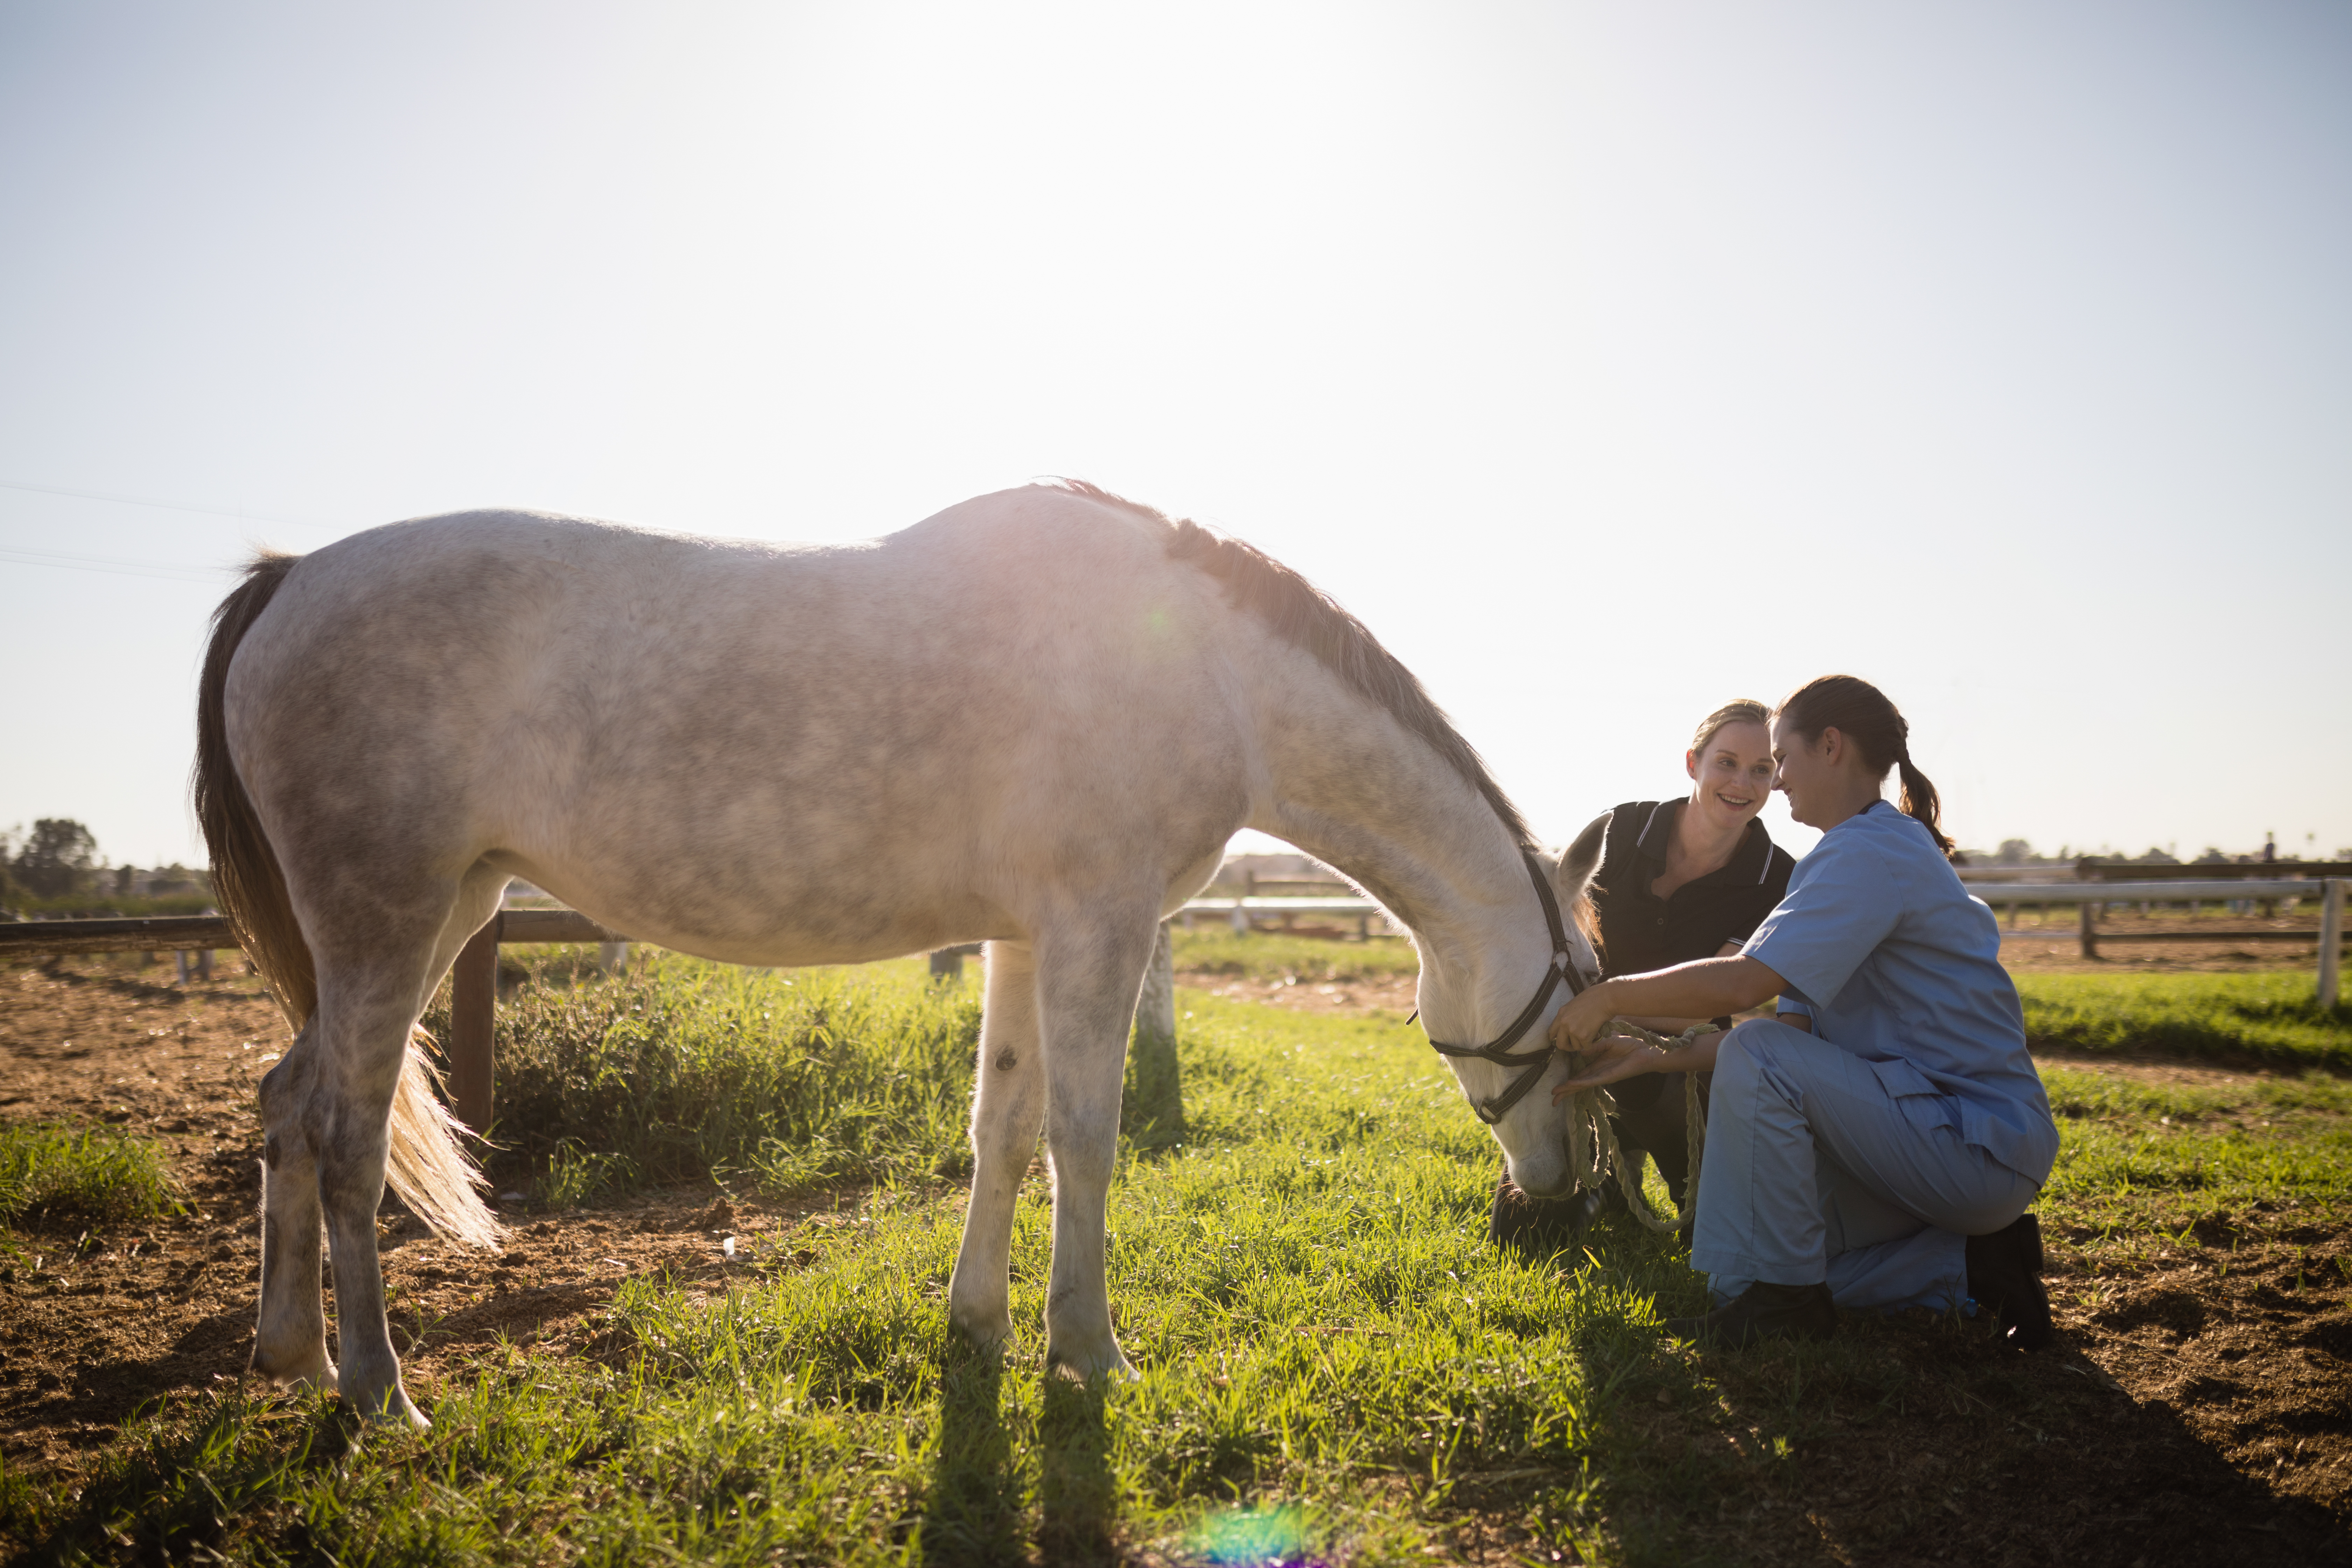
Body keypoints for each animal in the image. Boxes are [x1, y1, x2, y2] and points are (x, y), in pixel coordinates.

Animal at [197, 484, 1599, 1429]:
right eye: (1576, 1018)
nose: (1553, 1195)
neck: (1205, 666)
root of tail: (288, 578)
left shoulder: (1025, 936)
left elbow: (1003, 1127)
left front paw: (979, 1323)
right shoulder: (1100, 924)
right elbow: (1084, 1139)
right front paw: (1089, 1350)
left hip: (441, 912)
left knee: (287, 1104)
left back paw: (291, 1354)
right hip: (386, 923)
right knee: (350, 1134)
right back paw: (378, 1392)